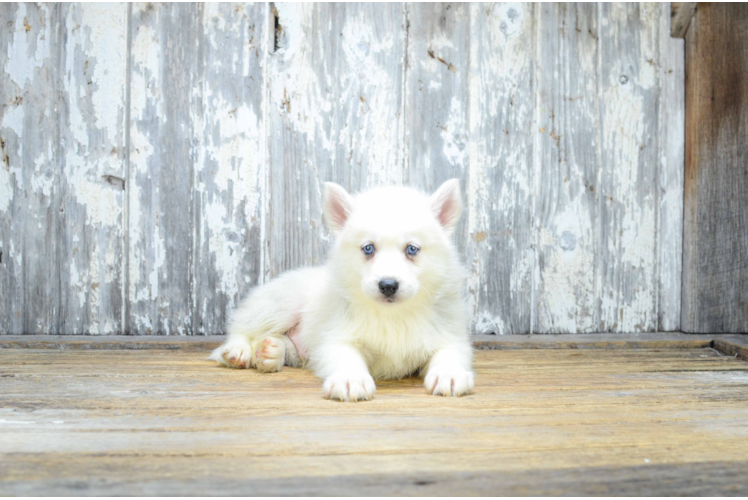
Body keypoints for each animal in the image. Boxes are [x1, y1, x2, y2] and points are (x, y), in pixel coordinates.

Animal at [209, 180, 474, 402]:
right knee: (241, 327)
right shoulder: (336, 338)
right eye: (368, 248)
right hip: (279, 305)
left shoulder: (450, 336)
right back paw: (239, 350)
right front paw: (350, 380)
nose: (388, 285)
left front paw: (449, 375)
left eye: (412, 249)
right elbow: (346, 356)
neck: (393, 315)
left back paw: (269, 352)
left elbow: (449, 353)